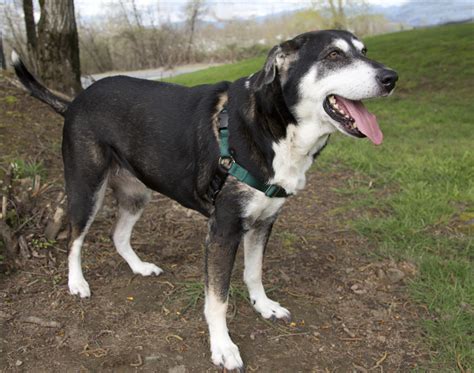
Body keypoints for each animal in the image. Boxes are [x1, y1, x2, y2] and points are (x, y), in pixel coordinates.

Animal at [12, 29, 398, 370]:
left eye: (363, 51)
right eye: (333, 55)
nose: (391, 77)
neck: (273, 126)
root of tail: (75, 100)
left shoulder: (263, 222)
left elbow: (254, 272)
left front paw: (263, 306)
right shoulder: (223, 231)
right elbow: (218, 300)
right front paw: (223, 347)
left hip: (137, 193)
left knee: (117, 235)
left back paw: (139, 267)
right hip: (86, 186)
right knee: (75, 238)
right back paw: (76, 283)